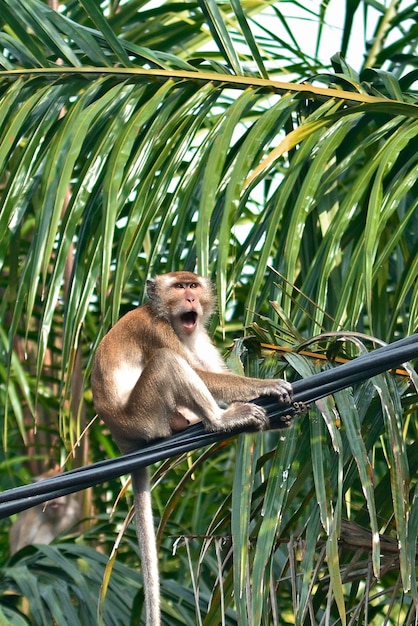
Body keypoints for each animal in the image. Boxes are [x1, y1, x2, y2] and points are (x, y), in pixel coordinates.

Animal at [91, 270, 294, 624]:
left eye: (193, 286)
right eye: (179, 287)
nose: (190, 298)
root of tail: (123, 438)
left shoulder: (197, 333)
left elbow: (212, 370)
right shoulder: (154, 328)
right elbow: (201, 373)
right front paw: (267, 386)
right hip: (146, 416)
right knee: (167, 362)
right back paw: (220, 420)